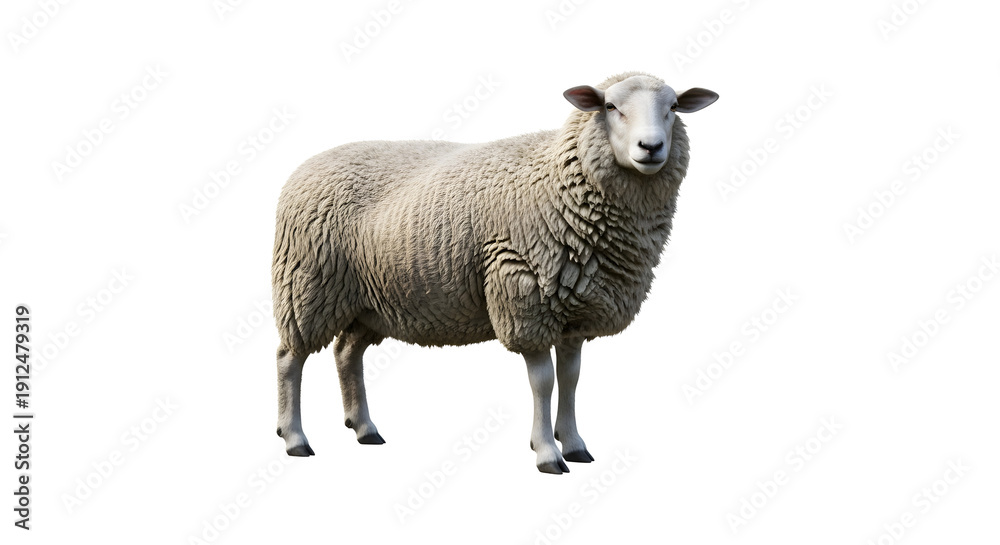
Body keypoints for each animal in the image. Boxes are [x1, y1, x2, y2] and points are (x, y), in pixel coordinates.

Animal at [271, 72, 718, 474]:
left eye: (673, 107)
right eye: (610, 106)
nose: (651, 147)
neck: (557, 181)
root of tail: (304, 167)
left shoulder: (575, 310)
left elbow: (571, 377)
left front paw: (574, 444)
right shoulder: (523, 294)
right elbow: (543, 381)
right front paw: (547, 453)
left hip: (369, 301)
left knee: (347, 352)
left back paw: (364, 428)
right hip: (307, 283)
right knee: (289, 357)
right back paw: (295, 438)